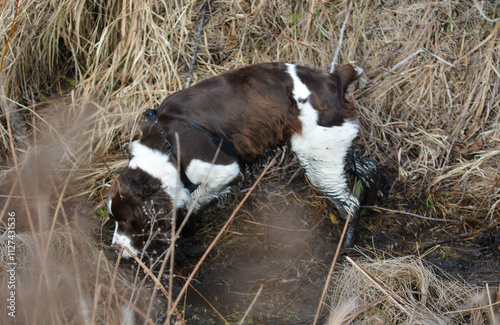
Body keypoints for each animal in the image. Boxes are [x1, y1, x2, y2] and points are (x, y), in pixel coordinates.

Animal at [107, 62, 376, 256]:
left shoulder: (223, 169)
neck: (166, 146)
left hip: (318, 157)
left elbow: (191, 201)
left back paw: (346, 243)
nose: (115, 250)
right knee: (368, 168)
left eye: (128, 221)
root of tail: (335, 78)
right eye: (114, 220)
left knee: (351, 202)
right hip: (325, 148)